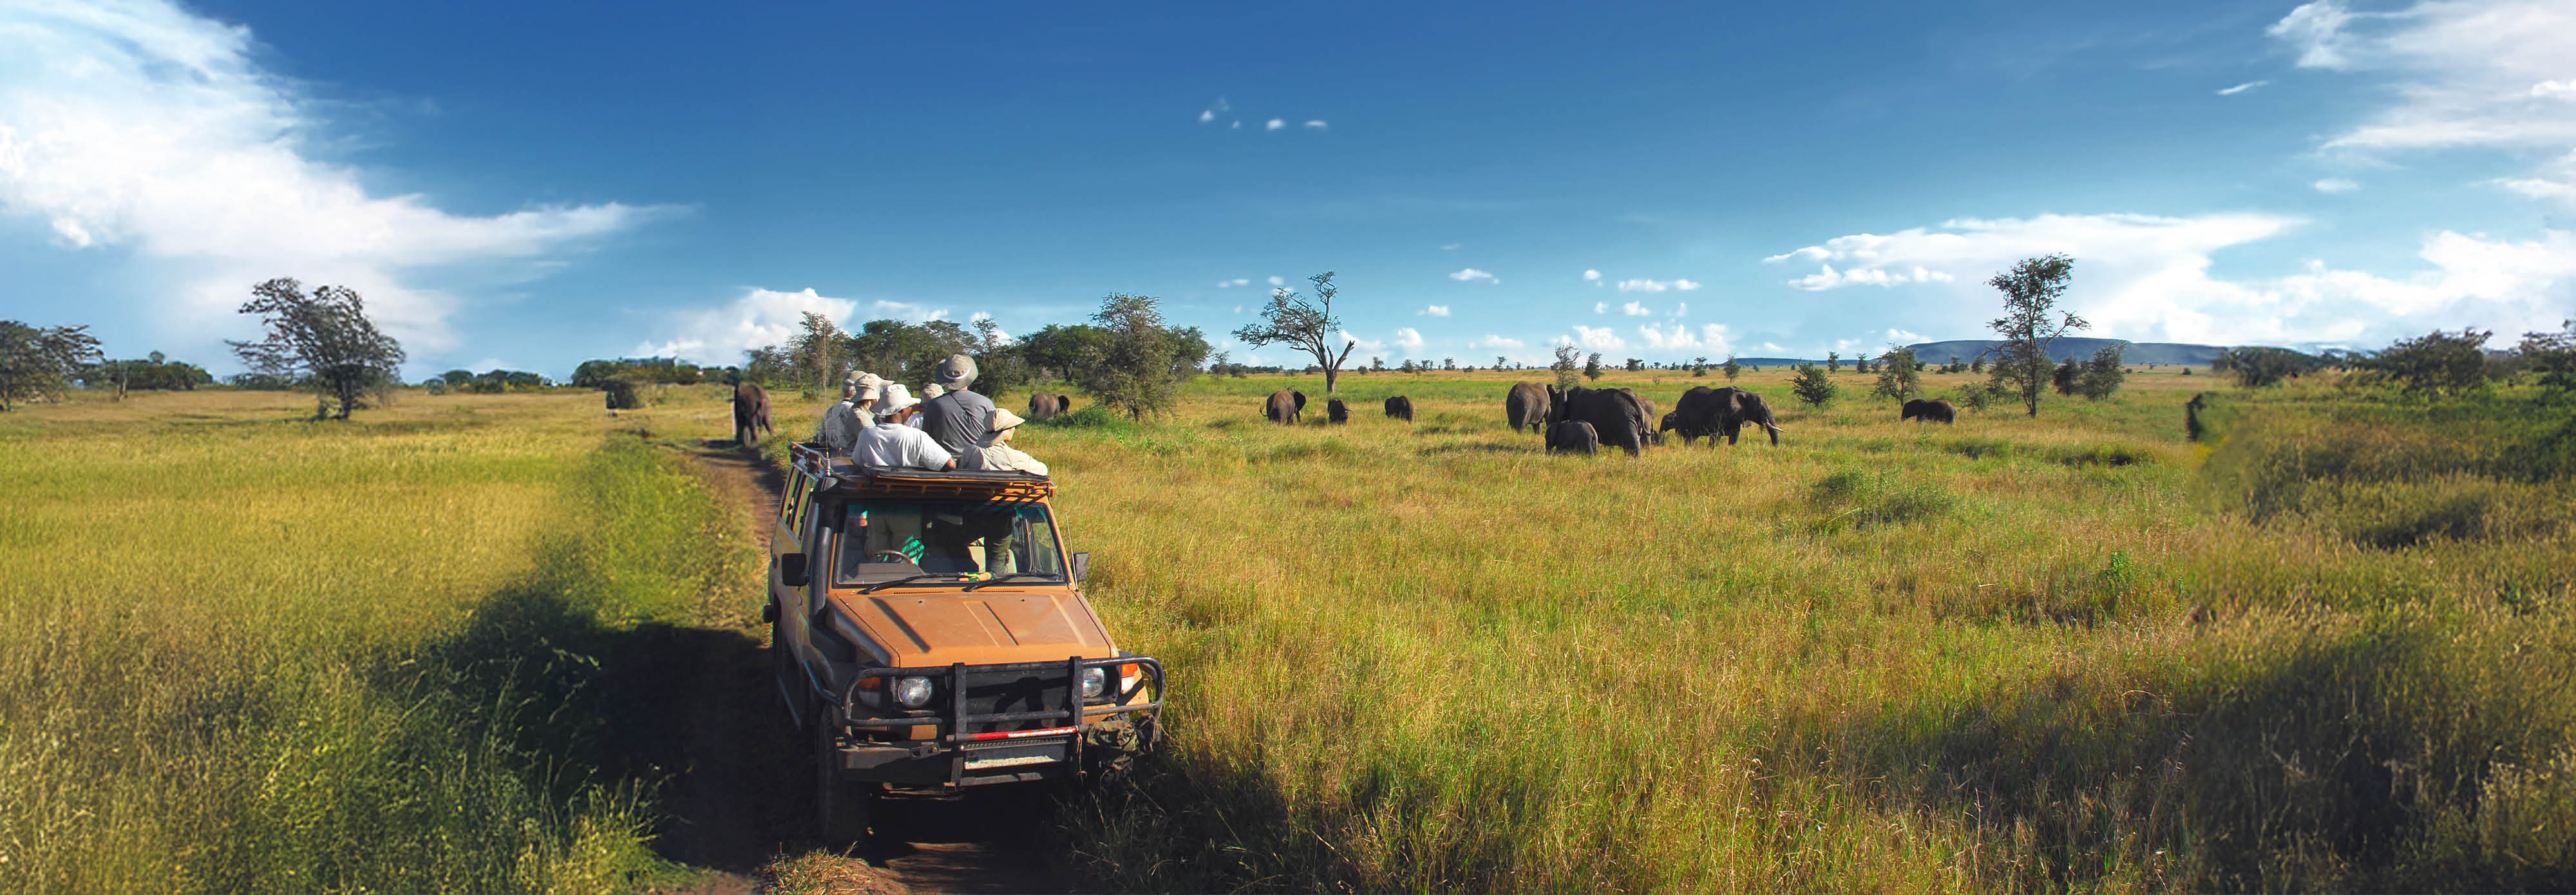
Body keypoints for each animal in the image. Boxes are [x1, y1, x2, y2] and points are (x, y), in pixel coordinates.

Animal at [1547, 385, 1649, 456]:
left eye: (1552, 406)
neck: (1568, 393)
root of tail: (1637, 407)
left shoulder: (1576, 410)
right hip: (1635, 421)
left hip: (1626, 420)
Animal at [1668, 386, 1782, 447]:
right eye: (1759, 407)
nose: (1776, 447)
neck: (1745, 394)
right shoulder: (1720, 413)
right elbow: (1715, 437)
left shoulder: (1737, 418)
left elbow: (1734, 438)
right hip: (1683, 417)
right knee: (1687, 437)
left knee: (1693, 437)